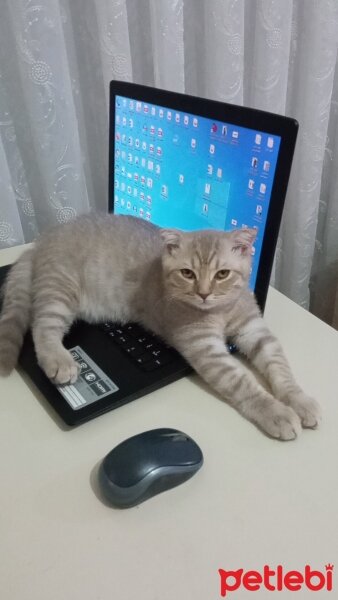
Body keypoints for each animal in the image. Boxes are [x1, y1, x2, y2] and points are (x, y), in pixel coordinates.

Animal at [0, 213, 320, 438]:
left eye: (222, 274)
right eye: (188, 273)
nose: (204, 293)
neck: (221, 311)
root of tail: (42, 241)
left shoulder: (255, 330)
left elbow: (280, 367)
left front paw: (299, 400)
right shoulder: (204, 347)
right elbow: (242, 383)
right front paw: (276, 412)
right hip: (61, 289)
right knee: (42, 326)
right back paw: (58, 359)